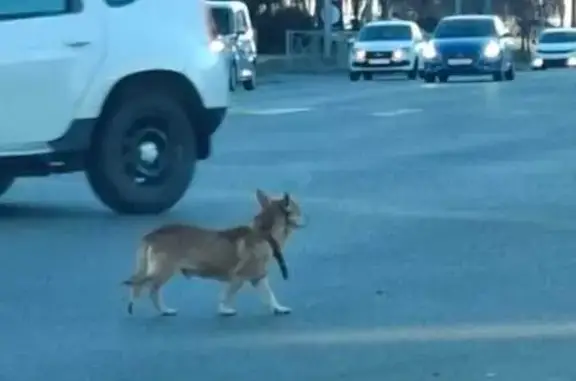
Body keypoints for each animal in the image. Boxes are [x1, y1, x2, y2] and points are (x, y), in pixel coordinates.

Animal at [120, 189, 304, 316]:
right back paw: (165, 310)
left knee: (137, 283)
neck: (264, 233)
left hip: (149, 268)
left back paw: (132, 306)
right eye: (299, 211)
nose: (307, 218)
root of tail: (151, 235)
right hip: (163, 271)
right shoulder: (238, 277)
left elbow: (269, 295)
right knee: (151, 289)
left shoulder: (258, 277)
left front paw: (278, 308)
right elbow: (226, 295)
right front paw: (224, 310)